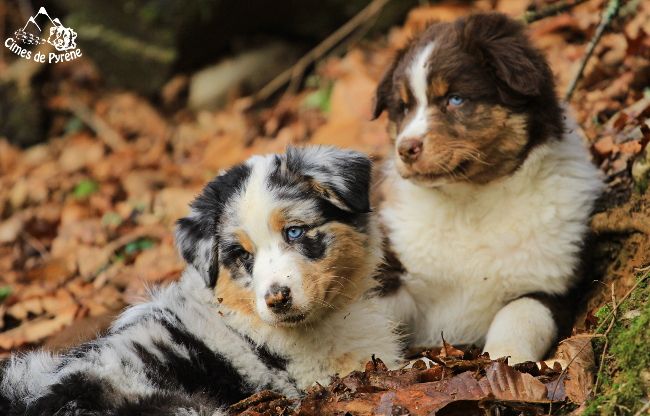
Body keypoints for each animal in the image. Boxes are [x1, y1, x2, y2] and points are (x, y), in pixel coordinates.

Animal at [370, 13, 604, 364]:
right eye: (403, 108)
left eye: (455, 99)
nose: (406, 148)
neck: (473, 200)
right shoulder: (392, 265)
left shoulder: (554, 279)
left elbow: (520, 315)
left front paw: (508, 359)